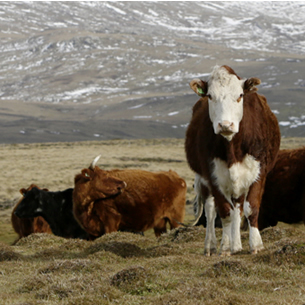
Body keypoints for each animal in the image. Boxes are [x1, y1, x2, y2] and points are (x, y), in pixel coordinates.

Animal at [184, 64, 280, 254]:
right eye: (210, 96)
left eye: (240, 95)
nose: (225, 125)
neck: (232, 148)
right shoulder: (212, 175)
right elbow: (224, 212)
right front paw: (225, 247)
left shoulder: (259, 172)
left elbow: (251, 208)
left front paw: (255, 245)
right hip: (203, 180)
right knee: (211, 209)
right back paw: (211, 245)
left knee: (238, 208)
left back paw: (237, 244)